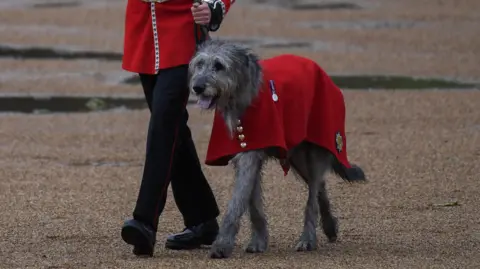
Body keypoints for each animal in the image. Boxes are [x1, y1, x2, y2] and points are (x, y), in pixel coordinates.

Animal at [188, 39, 368, 258]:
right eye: (199, 64)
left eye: (219, 65)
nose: (197, 87)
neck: (243, 97)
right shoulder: (248, 150)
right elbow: (253, 202)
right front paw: (259, 241)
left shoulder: (250, 154)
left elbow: (237, 201)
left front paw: (222, 245)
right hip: (296, 154)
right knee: (320, 186)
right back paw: (329, 227)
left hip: (316, 147)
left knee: (313, 194)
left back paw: (308, 238)